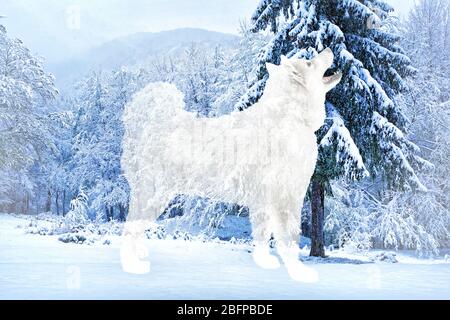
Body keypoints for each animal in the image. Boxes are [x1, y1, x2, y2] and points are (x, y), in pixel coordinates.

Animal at [119, 47, 342, 282]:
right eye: (309, 63)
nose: (329, 48)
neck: (291, 116)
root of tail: (150, 127)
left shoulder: (263, 203)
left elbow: (262, 235)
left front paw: (265, 262)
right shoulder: (286, 198)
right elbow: (289, 239)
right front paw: (299, 273)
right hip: (153, 197)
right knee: (129, 230)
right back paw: (133, 266)